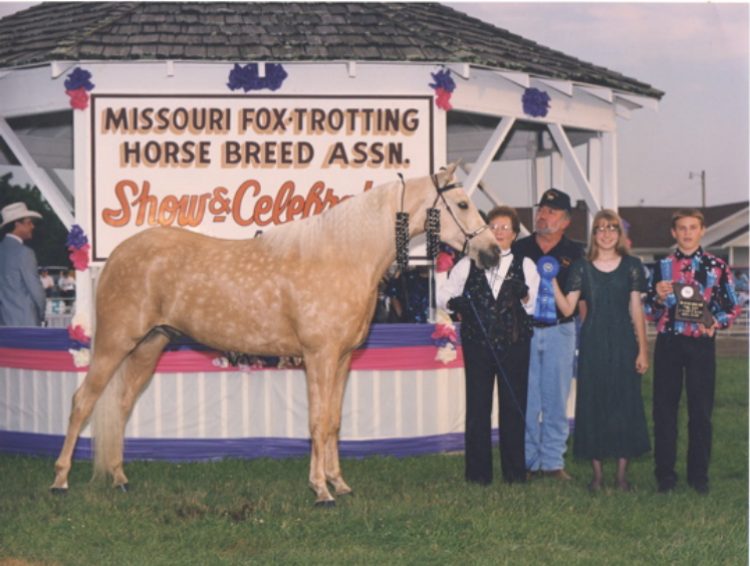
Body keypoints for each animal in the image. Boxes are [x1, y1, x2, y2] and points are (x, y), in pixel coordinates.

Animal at [51, 163, 500, 506]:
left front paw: (339, 483)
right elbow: (318, 421)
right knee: (82, 401)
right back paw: (60, 480)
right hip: (115, 344)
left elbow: (334, 422)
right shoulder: (318, 357)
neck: (343, 256)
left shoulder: (341, 359)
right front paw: (321, 491)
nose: (493, 252)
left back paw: (119, 478)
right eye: (462, 204)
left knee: (121, 404)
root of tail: (117, 257)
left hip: (150, 346)